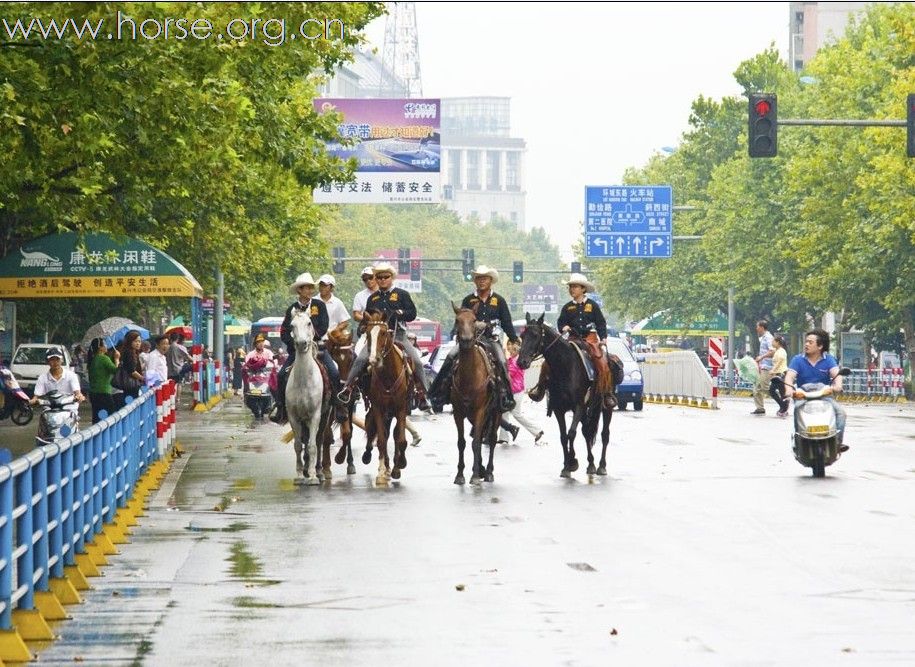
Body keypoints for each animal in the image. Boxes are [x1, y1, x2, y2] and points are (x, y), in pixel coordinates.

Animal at [362, 310, 412, 482]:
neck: (388, 375)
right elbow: (382, 440)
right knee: (377, 431)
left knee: (394, 434)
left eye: (383, 333)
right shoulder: (378, 408)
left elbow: (401, 439)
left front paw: (400, 464)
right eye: (367, 334)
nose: (373, 360)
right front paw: (382, 471)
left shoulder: (401, 408)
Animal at [448, 304, 498, 486]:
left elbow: (476, 443)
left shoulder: (480, 411)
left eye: (474, 320)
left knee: (491, 439)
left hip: (495, 412)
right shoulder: (458, 412)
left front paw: (475, 475)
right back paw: (482, 468)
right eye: (457, 320)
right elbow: (461, 442)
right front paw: (460, 474)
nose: (466, 340)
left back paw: (488, 471)